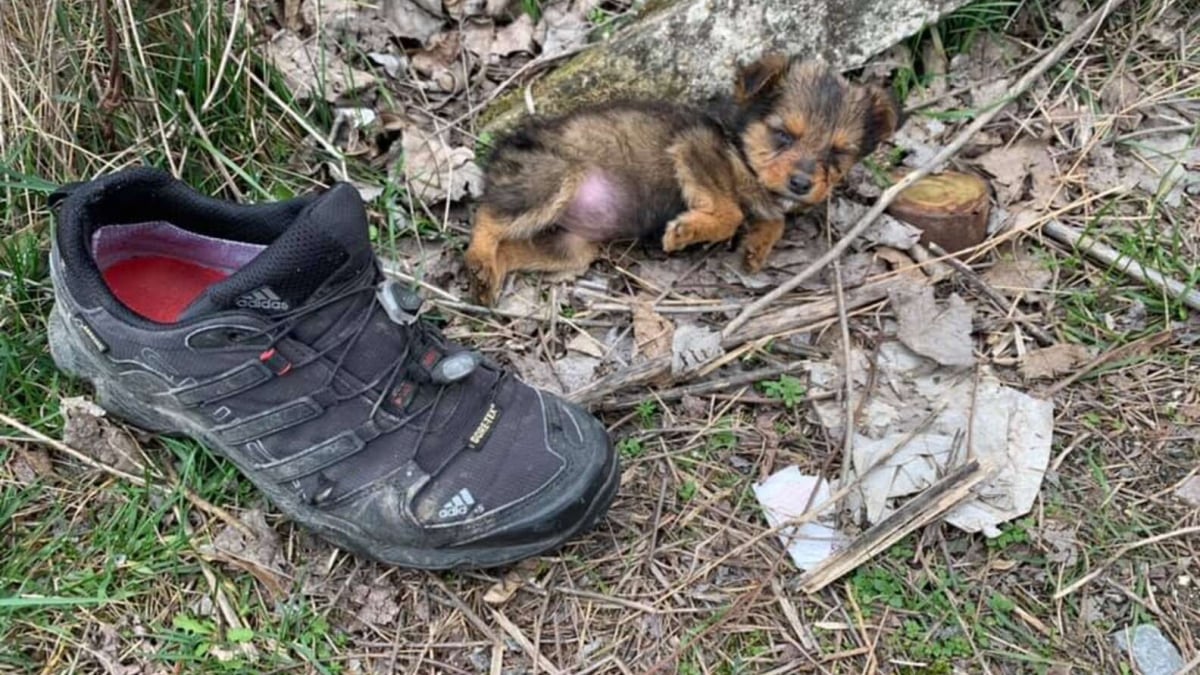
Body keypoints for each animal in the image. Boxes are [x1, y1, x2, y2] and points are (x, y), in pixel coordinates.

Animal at [463, 55, 897, 305]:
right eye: (783, 135)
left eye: (837, 154)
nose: (802, 184)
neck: (740, 141)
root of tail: (500, 150)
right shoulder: (696, 150)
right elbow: (731, 212)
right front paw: (688, 231)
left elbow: (771, 217)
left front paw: (757, 248)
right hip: (552, 179)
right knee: (487, 216)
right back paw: (480, 260)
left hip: (569, 247)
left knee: (511, 246)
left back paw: (489, 277)